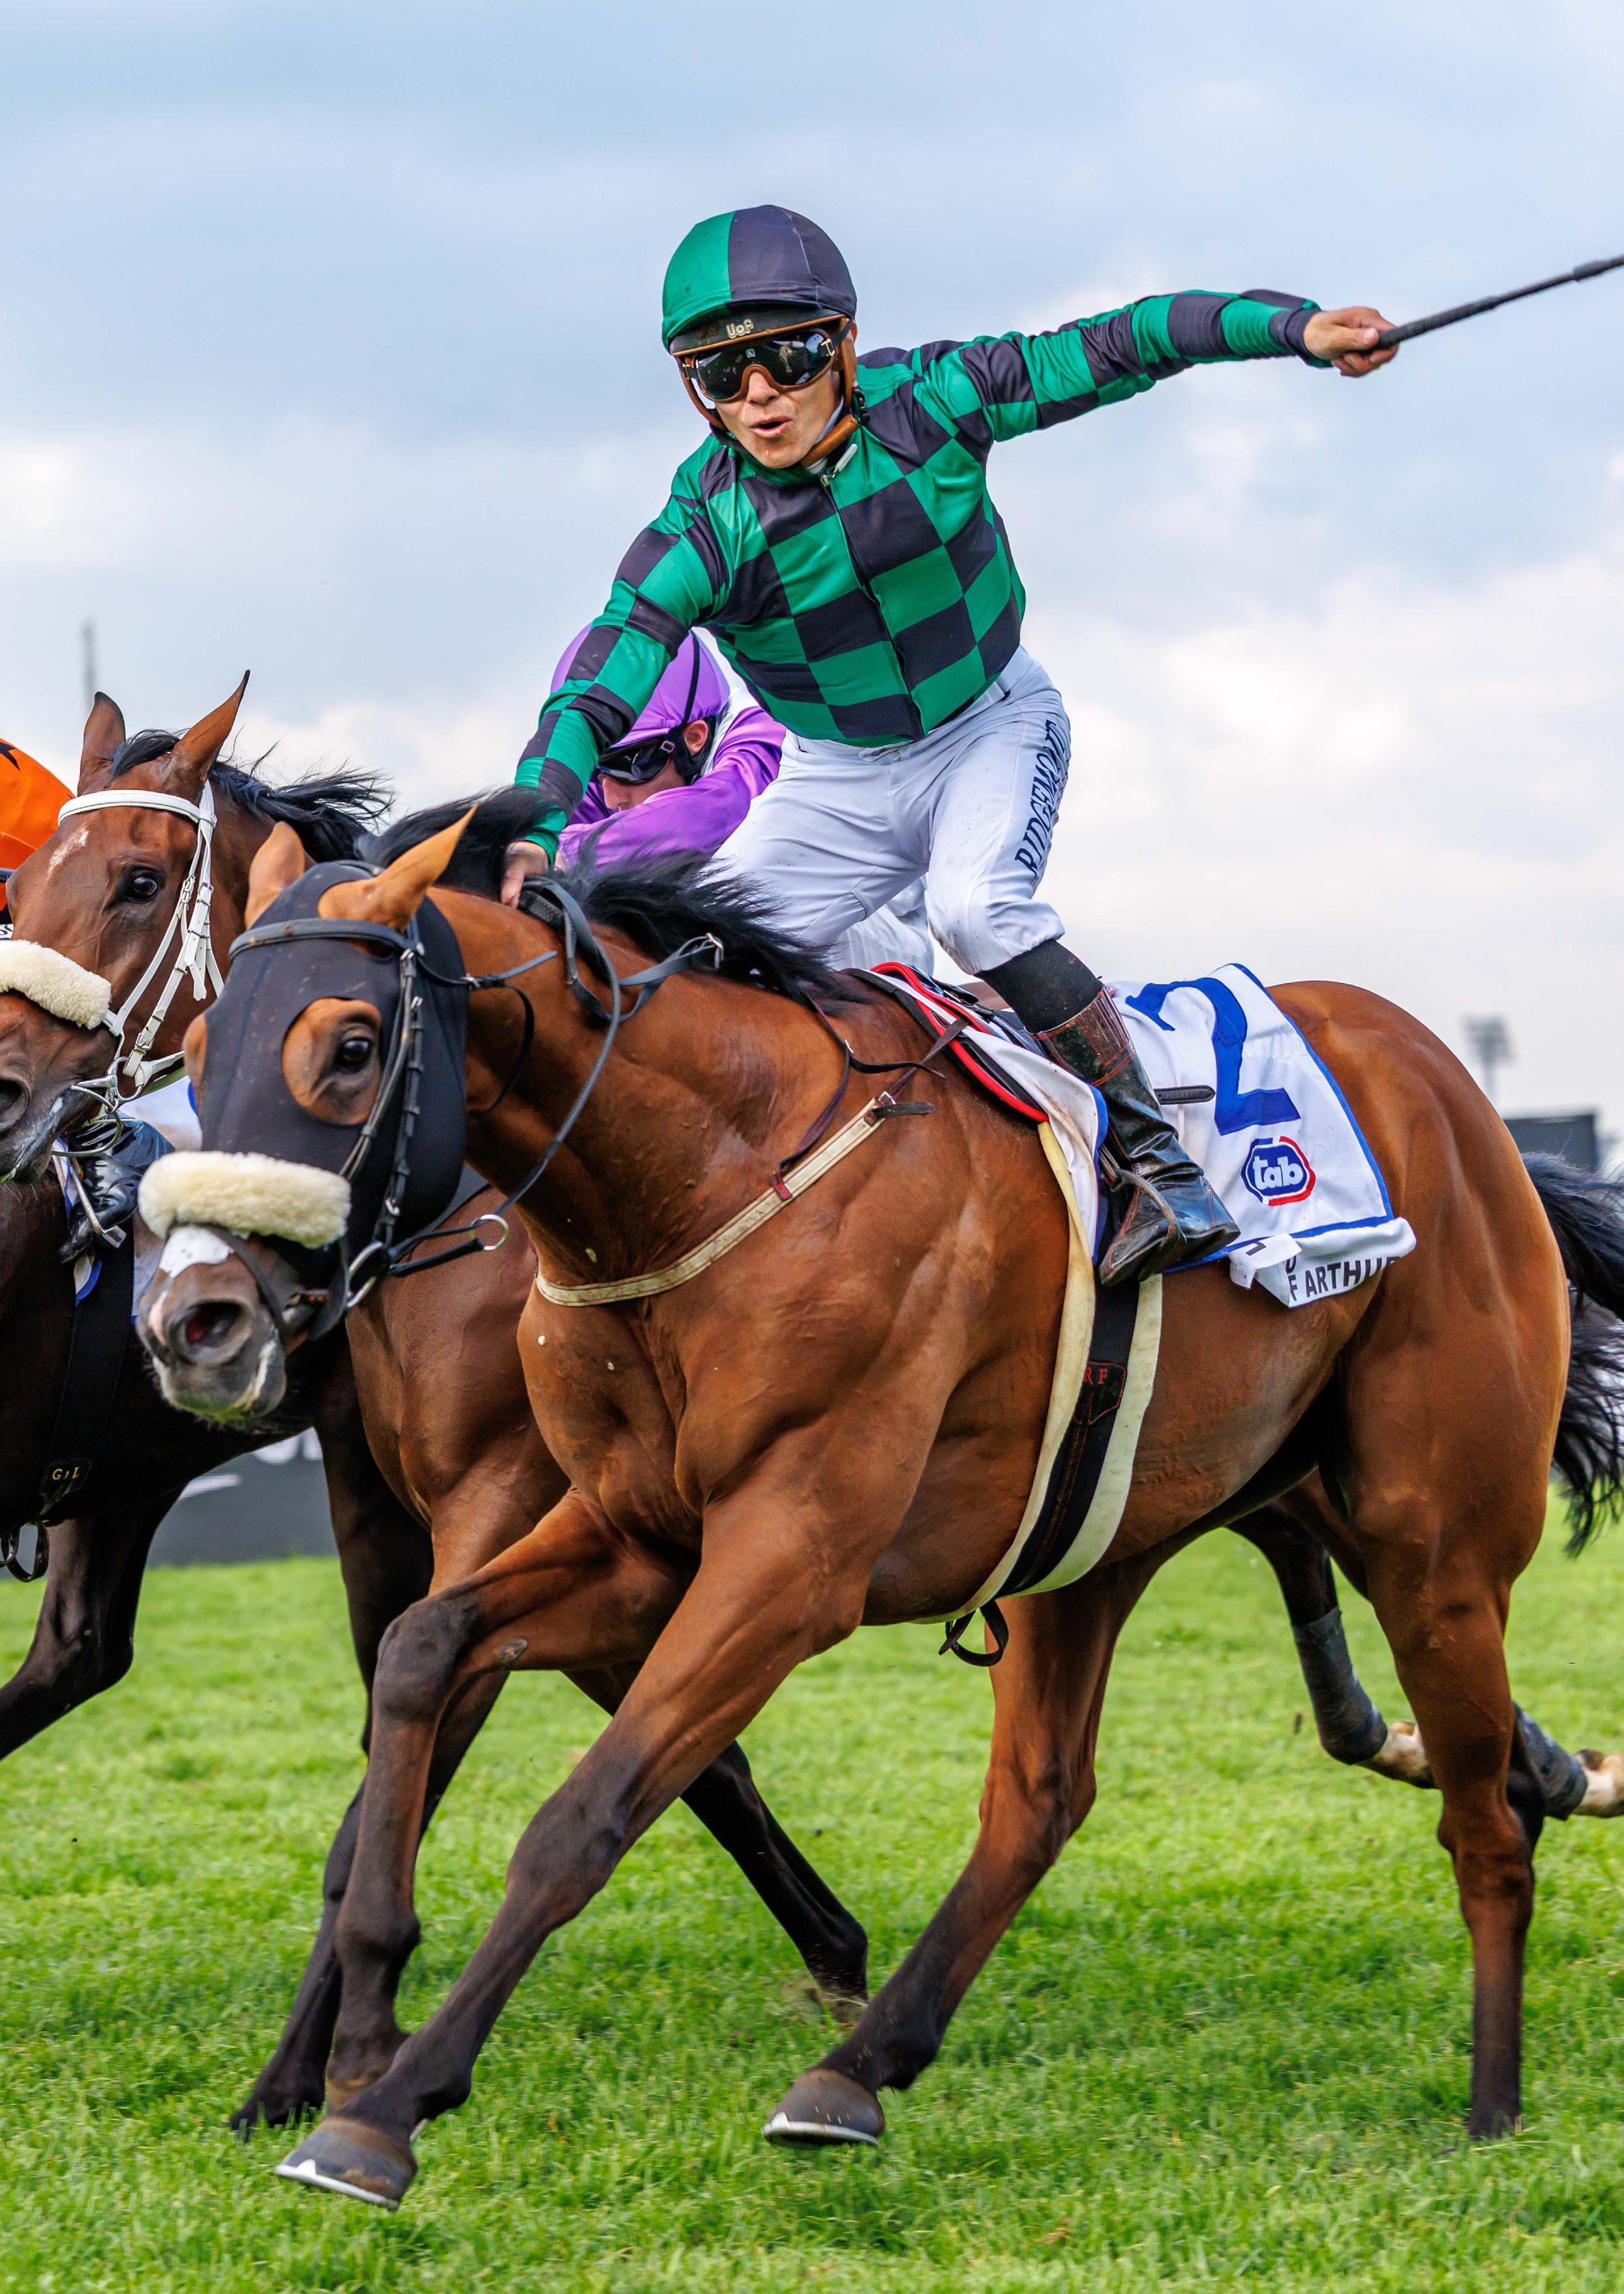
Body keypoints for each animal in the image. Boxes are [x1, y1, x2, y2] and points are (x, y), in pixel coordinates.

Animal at [0, 689, 875, 2128]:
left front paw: (310, 2071)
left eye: (137, 882)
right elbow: (401, 1735)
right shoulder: (382, 1484)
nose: (7, 1081)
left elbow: (396, 1773)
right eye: (19, 885)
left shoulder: (507, 1494)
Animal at [135, 790, 1624, 2208]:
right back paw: (853, 2073)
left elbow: (582, 1818)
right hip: (1097, 1535)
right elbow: (422, 1651)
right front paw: (357, 2034)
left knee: (1482, 1822)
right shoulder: (632, 1534)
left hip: (1434, 1544)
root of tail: (1460, 1097)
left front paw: (384, 2114)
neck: (709, 1177)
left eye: (347, 1045)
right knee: (1040, 1800)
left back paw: (1492, 2107)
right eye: (201, 1054)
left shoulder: (790, 1559)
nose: (198, 1317)